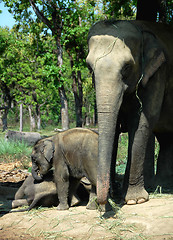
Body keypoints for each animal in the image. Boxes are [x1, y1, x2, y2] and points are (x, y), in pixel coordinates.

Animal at [86, 19, 173, 205]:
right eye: (89, 68)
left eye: (126, 67)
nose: (101, 203)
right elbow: (114, 127)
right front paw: (115, 195)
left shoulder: (158, 73)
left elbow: (143, 121)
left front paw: (135, 200)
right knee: (166, 138)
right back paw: (162, 185)